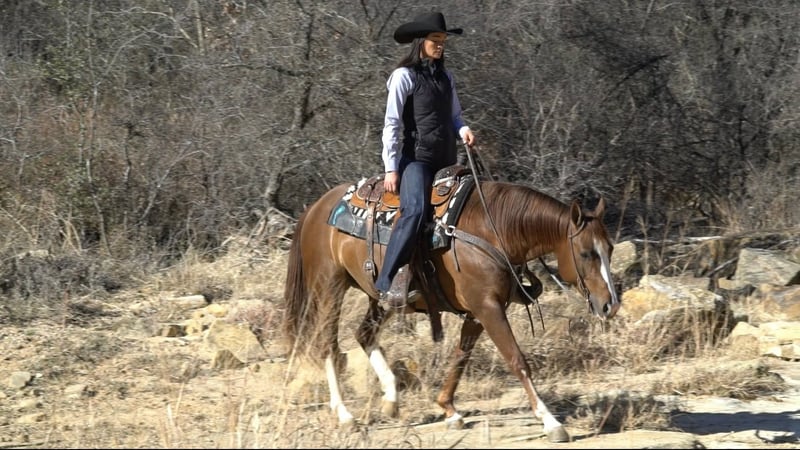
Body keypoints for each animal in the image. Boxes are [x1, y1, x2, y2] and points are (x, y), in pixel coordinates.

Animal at [282, 173, 620, 443]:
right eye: (586, 253)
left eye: (610, 249)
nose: (610, 305)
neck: (492, 230)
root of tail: (316, 207)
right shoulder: (487, 308)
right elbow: (517, 360)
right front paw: (551, 422)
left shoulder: (479, 313)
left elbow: (461, 357)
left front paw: (449, 409)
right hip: (329, 287)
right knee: (327, 344)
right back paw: (345, 415)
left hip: (381, 297)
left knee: (364, 333)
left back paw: (391, 397)